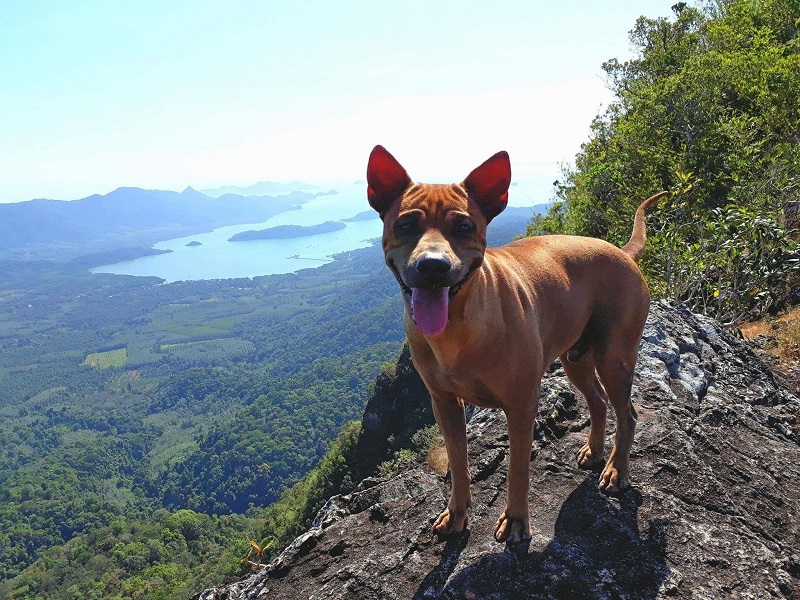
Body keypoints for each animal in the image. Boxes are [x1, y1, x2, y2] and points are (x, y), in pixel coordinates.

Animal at [368, 145, 664, 544]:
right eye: (406, 225)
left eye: (464, 227)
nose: (432, 266)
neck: (457, 328)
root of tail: (622, 251)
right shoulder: (444, 404)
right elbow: (458, 462)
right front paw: (457, 512)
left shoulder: (522, 405)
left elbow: (518, 469)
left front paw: (516, 519)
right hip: (577, 360)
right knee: (599, 401)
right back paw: (594, 450)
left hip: (613, 358)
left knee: (627, 413)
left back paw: (617, 470)